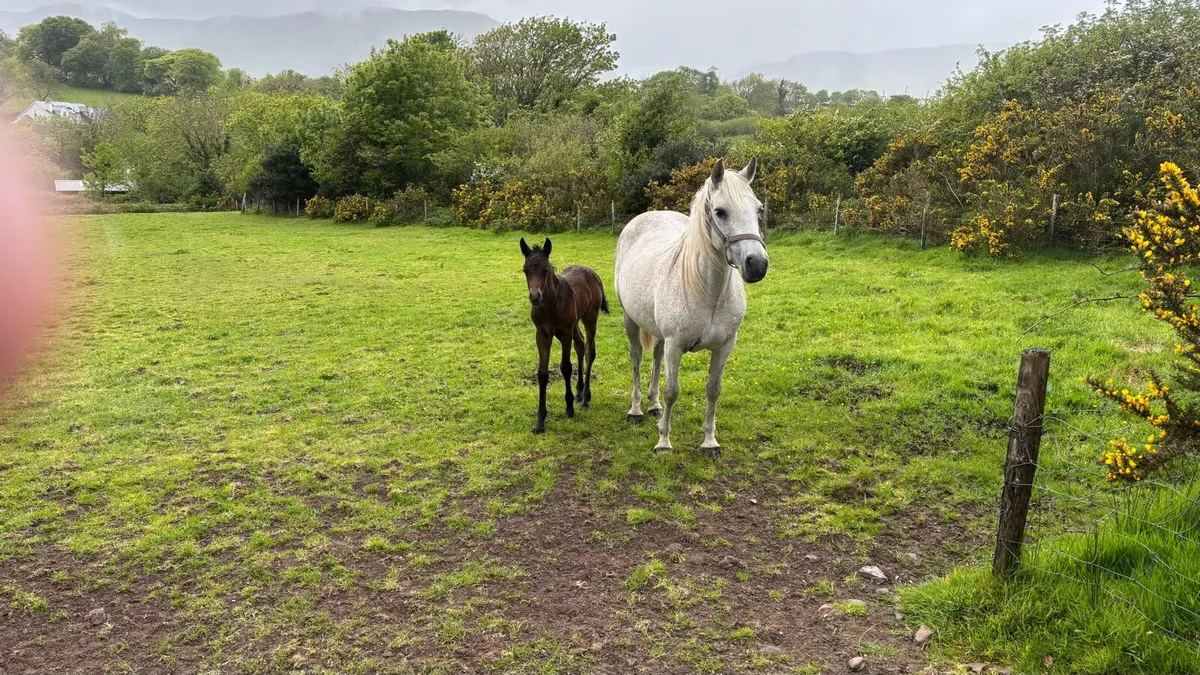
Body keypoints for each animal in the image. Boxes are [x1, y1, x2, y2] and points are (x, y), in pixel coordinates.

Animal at [520, 237, 610, 434]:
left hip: (590, 318)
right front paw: (540, 420)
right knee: (581, 344)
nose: (535, 297)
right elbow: (542, 373)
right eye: (525, 270)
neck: (550, 305)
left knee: (589, 350)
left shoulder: (565, 334)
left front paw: (569, 408)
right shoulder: (542, 335)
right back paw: (579, 392)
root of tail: (593, 273)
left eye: (546, 270)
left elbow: (566, 367)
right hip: (575, 323)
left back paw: (585, 397)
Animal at [614, 158, 768, 459]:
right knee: (637, 358)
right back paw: (636, 410)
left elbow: (713, 390)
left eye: (759, 210)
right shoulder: (676, 346)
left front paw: (709, 442)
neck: (710, 293)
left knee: (655, 357)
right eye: (720, 212)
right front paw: (663, 442)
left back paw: (653, 405)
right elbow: (672, 391)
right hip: (631, 320)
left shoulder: (725, 346)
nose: (757, 265)